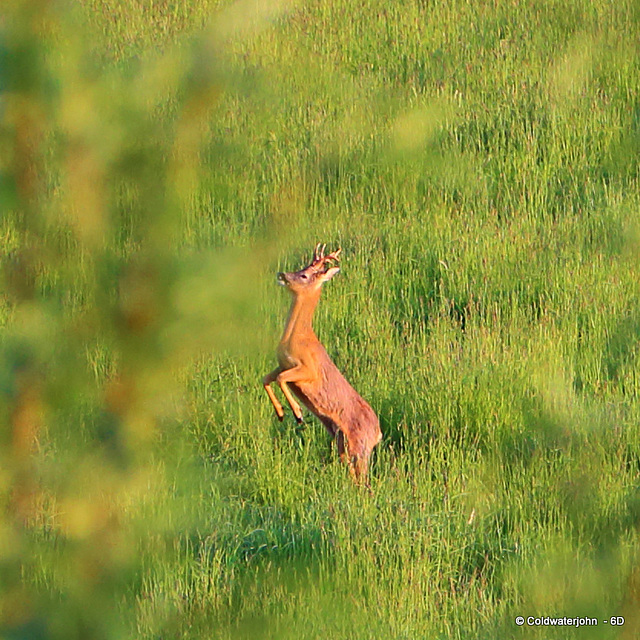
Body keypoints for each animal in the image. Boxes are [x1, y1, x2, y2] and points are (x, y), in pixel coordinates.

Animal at [262, 244, 382, 484]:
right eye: (301, 268)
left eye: (304, 275)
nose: (282, 275)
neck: (297, 338)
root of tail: (378, 433)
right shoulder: (282, 364)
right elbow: (267, 378)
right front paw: (280, 413)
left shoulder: (309, 370)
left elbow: (281, 379)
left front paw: (297, 413)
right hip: (342, 442)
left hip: (360, 446)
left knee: (363, 480)